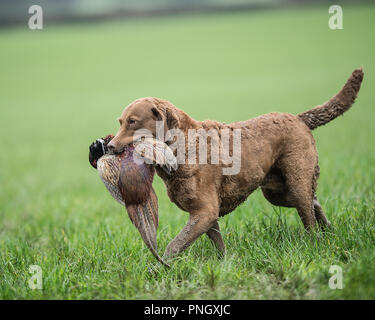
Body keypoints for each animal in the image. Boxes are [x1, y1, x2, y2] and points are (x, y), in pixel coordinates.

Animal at [108, 68, 364, 260]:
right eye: (120, 122)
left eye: (132, 122)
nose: (109, 146)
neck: (183, 147)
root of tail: (298, 118)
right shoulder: (206, 215)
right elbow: (217, 244)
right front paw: (224, 263)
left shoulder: (204, 211)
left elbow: (175, 243)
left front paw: (161, 266)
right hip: (278, 192)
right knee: (314, 202)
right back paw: (330, 231)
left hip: (295, 182)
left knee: (308, 215)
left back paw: (317, 243)